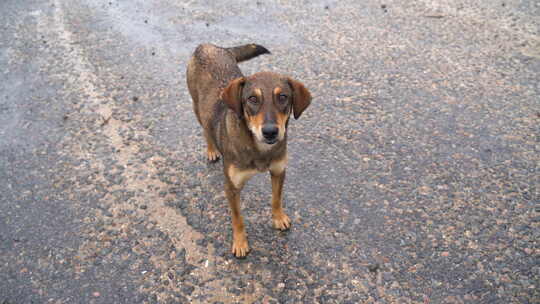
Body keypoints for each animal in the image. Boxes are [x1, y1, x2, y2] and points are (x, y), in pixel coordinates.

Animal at [187, 43, 310, 256]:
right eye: (252, 99)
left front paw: (278, 218)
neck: (259, 149)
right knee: (206, 129)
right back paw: (212, 149)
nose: (270, 132)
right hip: (197, 107)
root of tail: (208, 46)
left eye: (283, 97)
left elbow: (276, 198)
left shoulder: (279, 171)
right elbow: (238, 219)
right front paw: (240, 242)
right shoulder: (231, 187)